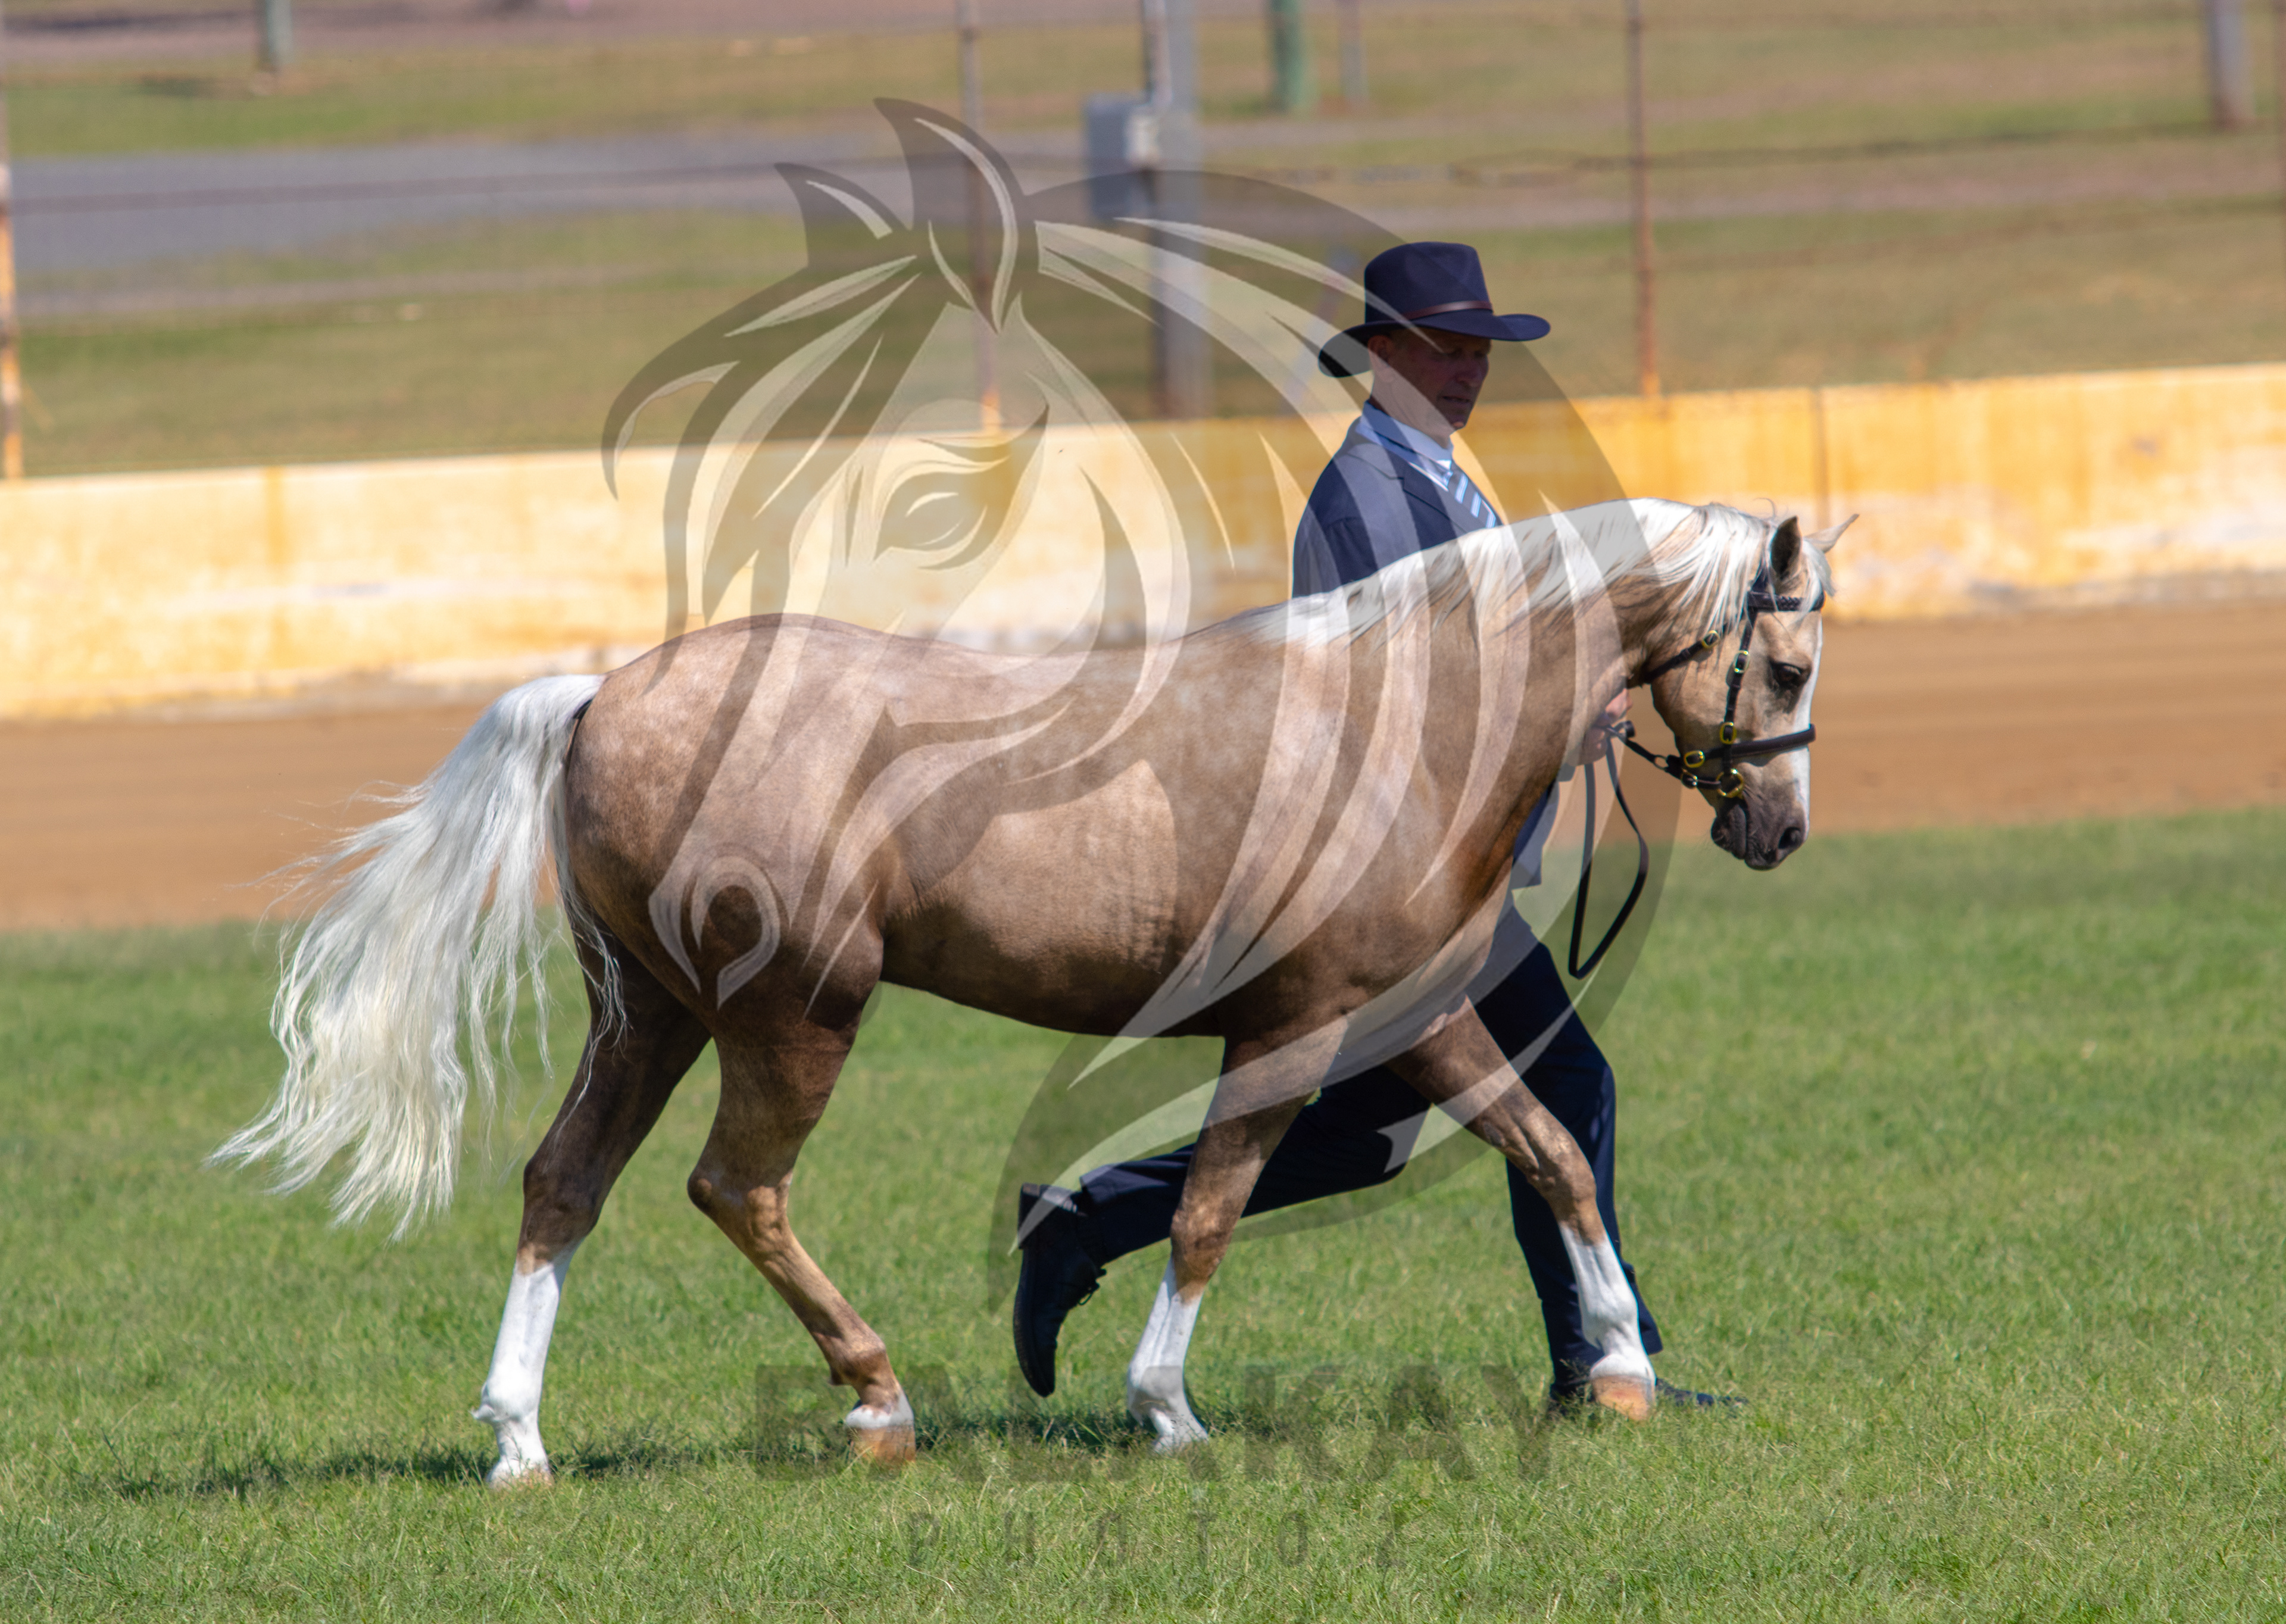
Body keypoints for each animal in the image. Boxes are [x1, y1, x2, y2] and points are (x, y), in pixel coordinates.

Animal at [217, 496, 1840, 1483]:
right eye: (1783, 661)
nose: (1779, 831)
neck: (1408, 724)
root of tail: (604, 693)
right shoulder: (1293, 1028)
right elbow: (1207, 1213)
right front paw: (1169, 1410)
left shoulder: (1414, 1015)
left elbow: (1553, 1152)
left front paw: (1621, 1365)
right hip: (796, 1013)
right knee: (736, 1186)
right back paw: (877, 1400)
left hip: (650, 1012)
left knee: (566, 1181)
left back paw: (518, 1439)